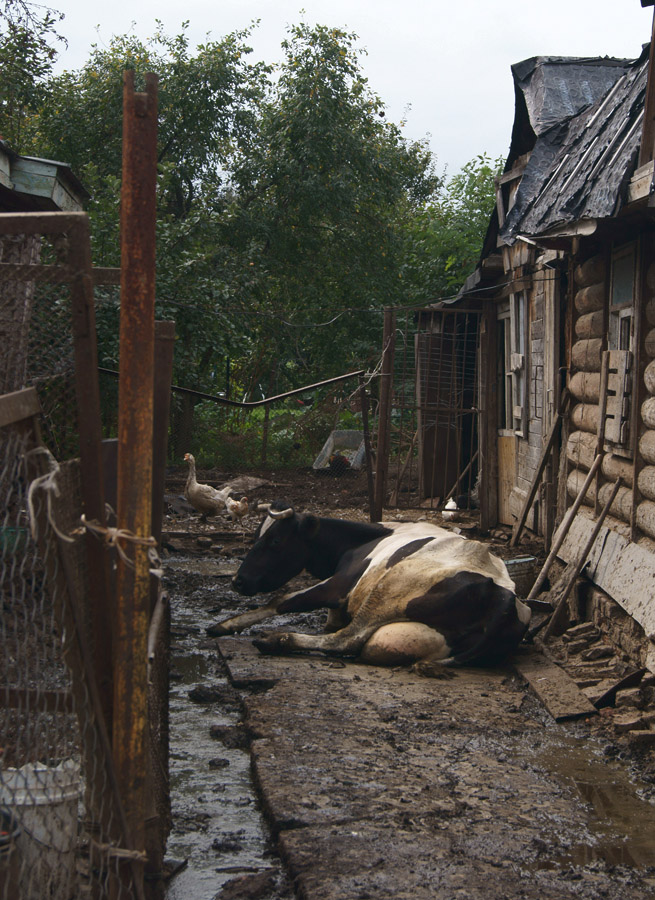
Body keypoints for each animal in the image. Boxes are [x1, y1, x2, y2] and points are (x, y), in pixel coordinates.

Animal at [210, 500, 532, 676]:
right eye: (255, 536)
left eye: (275, 541)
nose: (238, 581)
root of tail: (505, 597)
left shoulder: (342, 584)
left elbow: (283, 599)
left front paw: (226, 625)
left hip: (389, 589)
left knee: (347, 640)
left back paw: (275, 639)